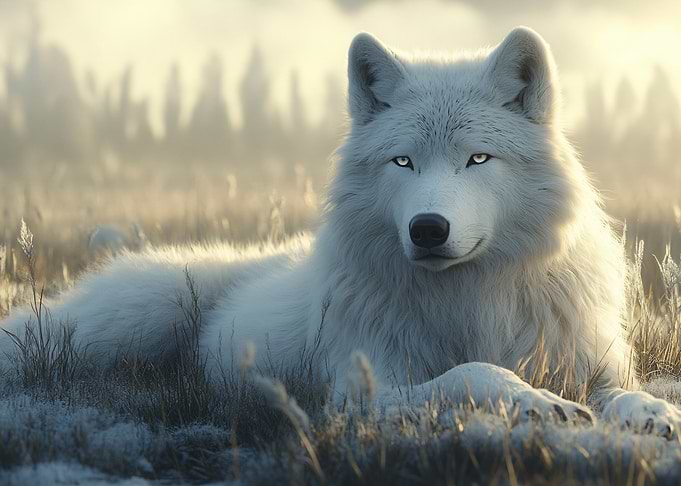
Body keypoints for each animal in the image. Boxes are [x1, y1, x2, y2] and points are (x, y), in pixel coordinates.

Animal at [2, 27, 680, 436]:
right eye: (402, 162)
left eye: (477, 159)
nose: (428, 229)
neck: (469, 299)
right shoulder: (362, 392)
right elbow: (476, 373)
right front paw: (541, 403)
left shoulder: (595, 362)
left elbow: (624, 394)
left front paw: (652, 413)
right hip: (127, 321)